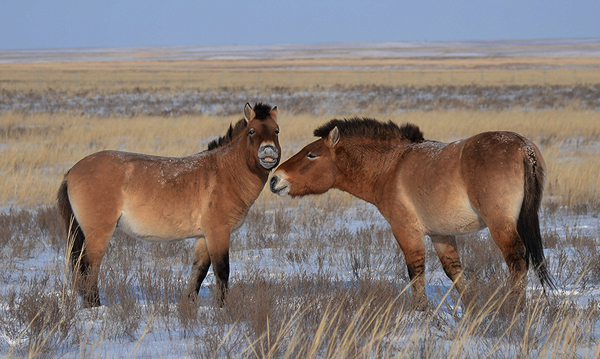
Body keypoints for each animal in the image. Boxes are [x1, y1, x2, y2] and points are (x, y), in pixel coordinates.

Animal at [56, 102, 282, 308]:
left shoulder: (204, 237)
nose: (268, 152)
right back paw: (95, 307)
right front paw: (223, 307)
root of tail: (72, 171)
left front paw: (188, 304)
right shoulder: (218, 233)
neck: (226, 172)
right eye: (252, 131)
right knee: (89, 268)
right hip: (98, 233)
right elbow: (222, 271)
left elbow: (198, 271)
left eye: (276, 130)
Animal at [270, 119, 556, 312]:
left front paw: (421, 312)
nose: (275, 179)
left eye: (311, 154)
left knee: (516, 259)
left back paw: (515, 308)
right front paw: (473, 309)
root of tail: (523, 148)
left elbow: (415, 271)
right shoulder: (441, 234)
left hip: (501, 224)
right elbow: (455, 272)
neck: (391, 167)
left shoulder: (406, 231)